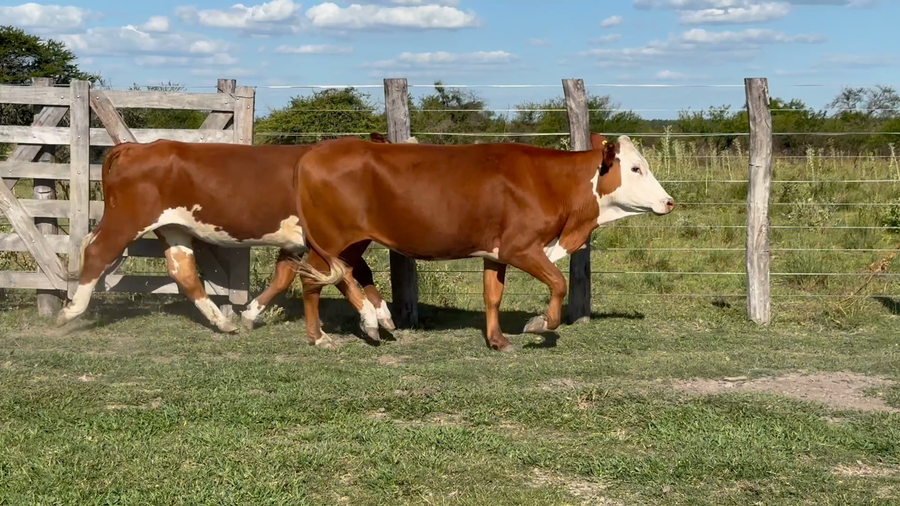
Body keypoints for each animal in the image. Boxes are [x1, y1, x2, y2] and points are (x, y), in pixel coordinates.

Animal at [56, 134, 399, 335]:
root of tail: (139, 146)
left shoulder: (302, 242)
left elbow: (288, 276)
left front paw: (250, 314)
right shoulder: (333, 238)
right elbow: (347, 274)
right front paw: (372, 317)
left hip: (173, 227)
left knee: (183, 270)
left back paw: (223, 322)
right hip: (127, 220)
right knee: (97, 252)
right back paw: (70, 311)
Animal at [289, 133, 675, 351]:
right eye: (636, 168)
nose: (669, 201)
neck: (549, 181)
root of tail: (313, 153)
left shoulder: (497, 252)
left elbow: (493, 296)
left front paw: (497, 340)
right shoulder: (522, 247)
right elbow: (559, 283)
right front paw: (540, 324)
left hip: (348, 242)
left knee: (343, 275)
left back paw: (375, 320)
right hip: (332, 238)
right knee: (314, 280)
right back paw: (322, 336)